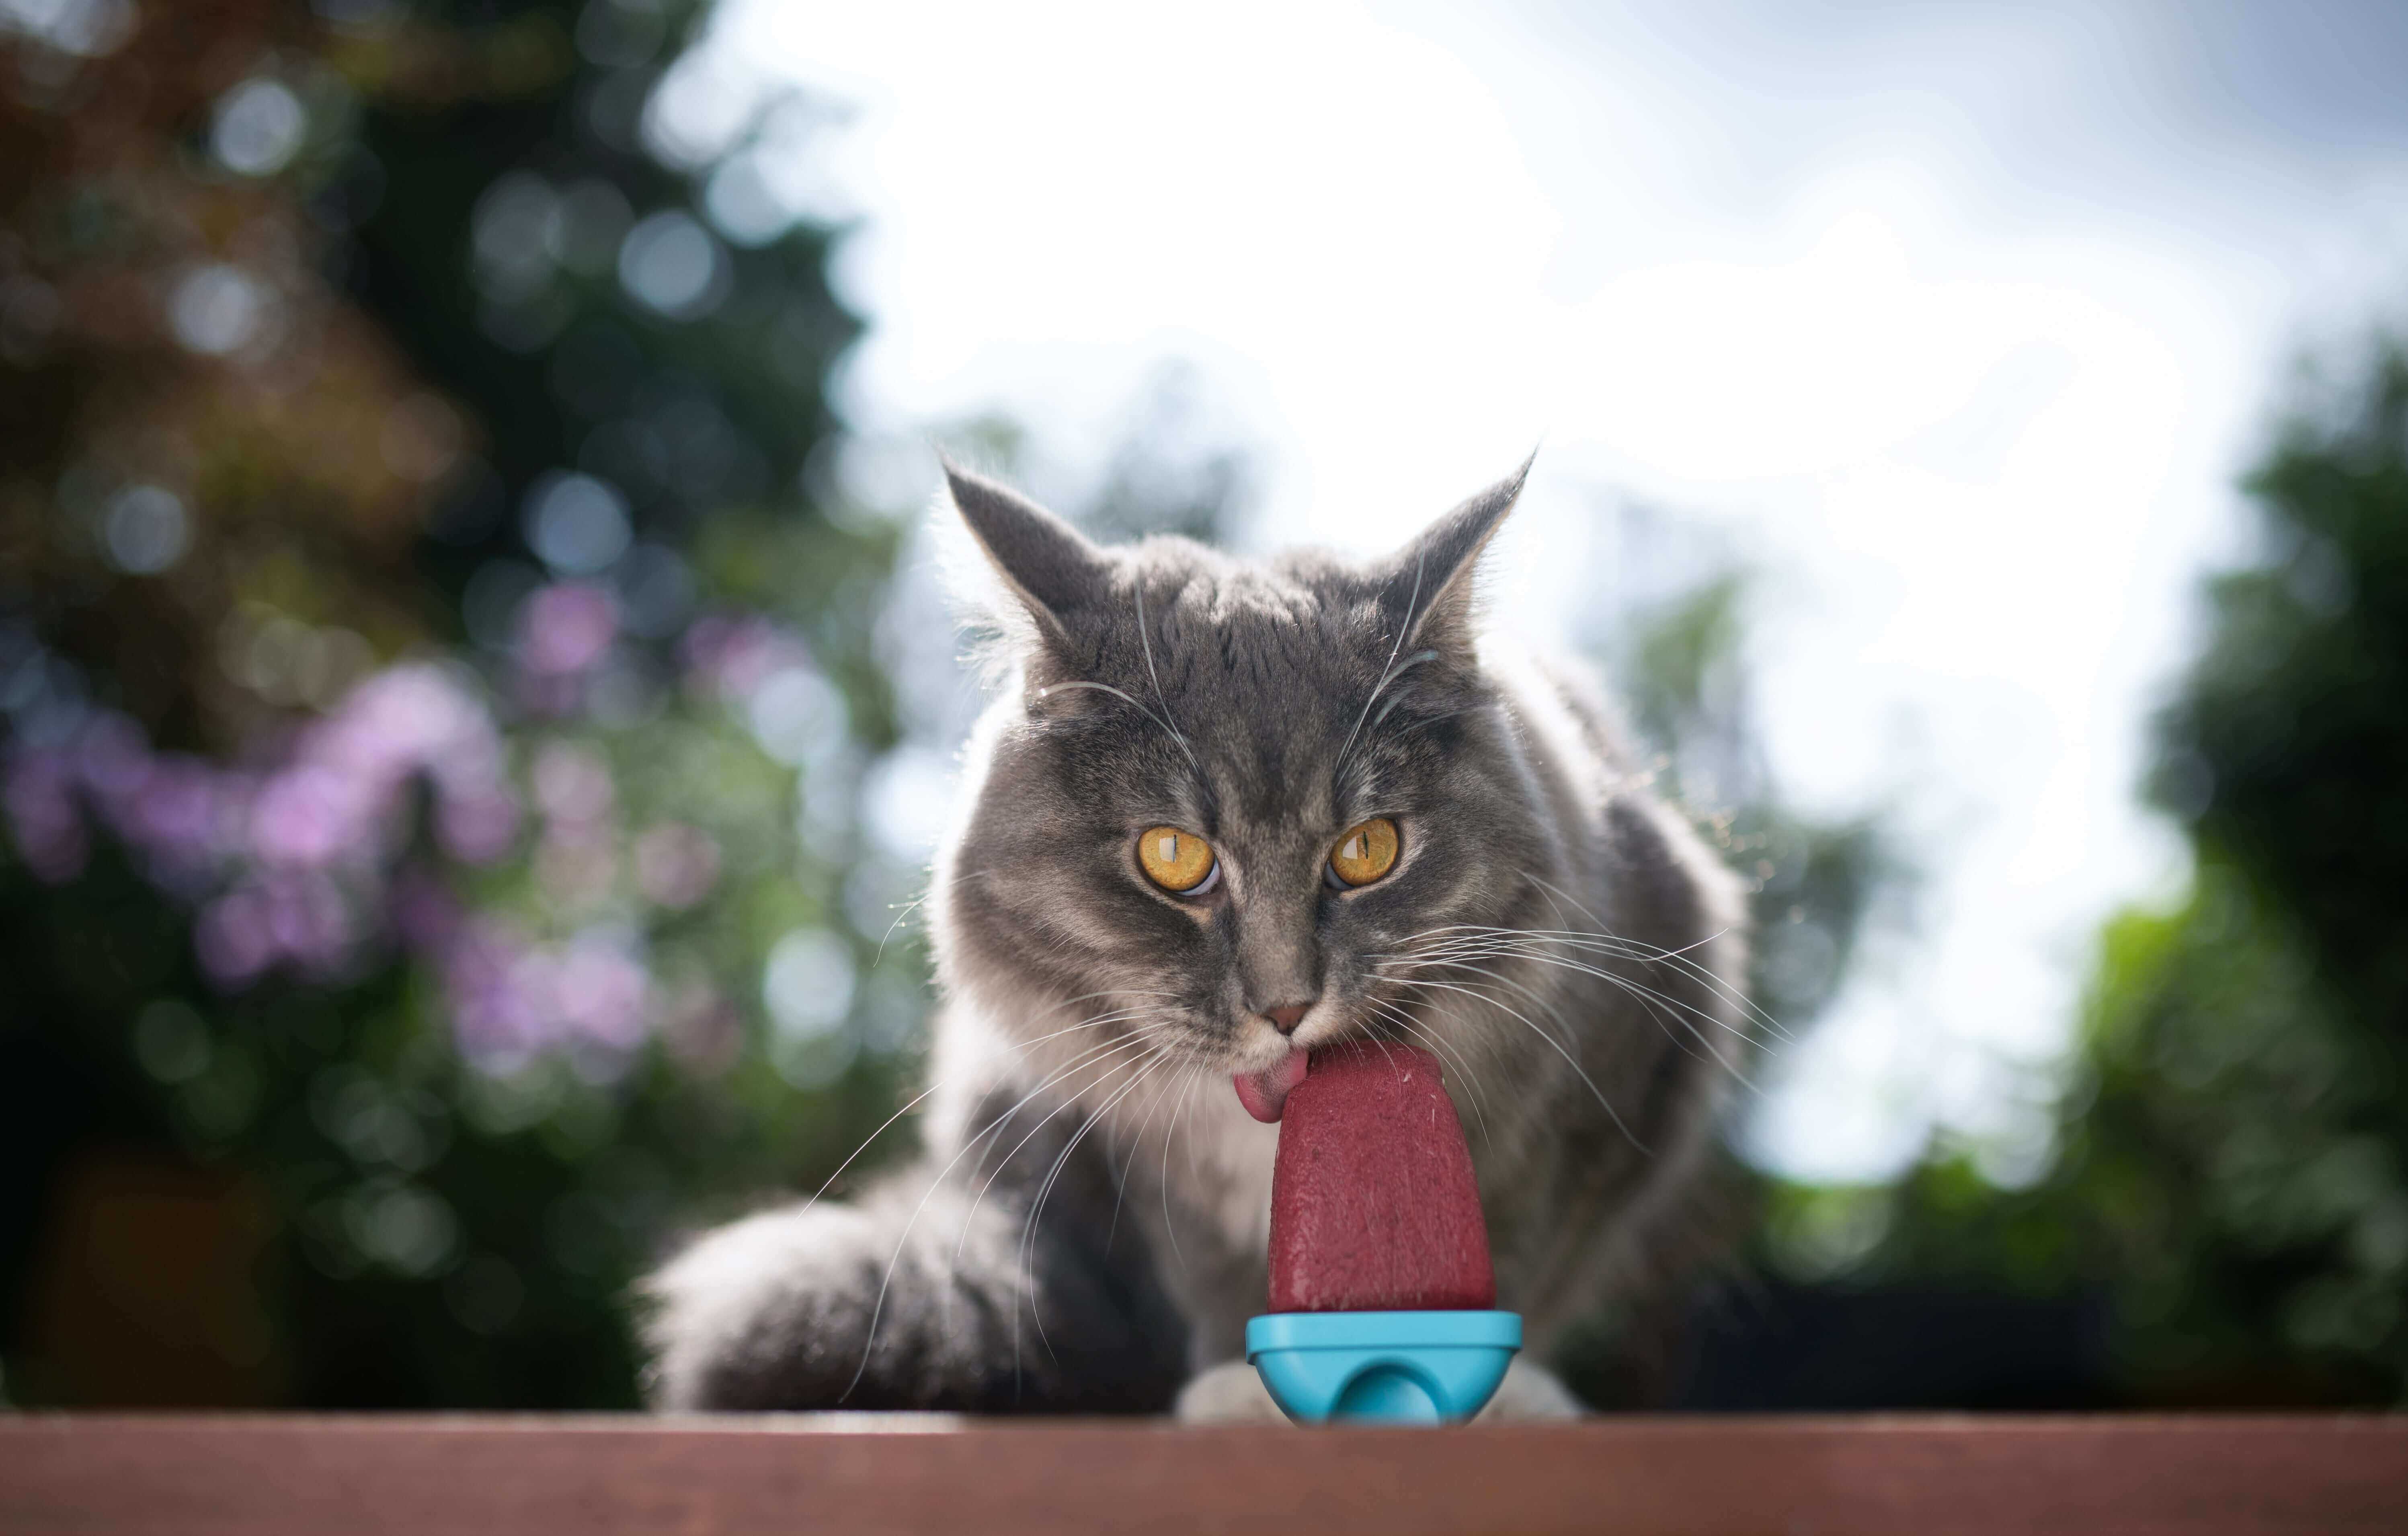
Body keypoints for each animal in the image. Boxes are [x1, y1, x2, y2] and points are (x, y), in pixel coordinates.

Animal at [640, 457, 1753, 1425]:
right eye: (1172, 856)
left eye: (1368, 848)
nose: (1286, 1003)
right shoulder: (1128, 1157)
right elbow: (1210, 1281)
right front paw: (1242, 1389)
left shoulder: (1617, 1078)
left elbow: (1516, 1250)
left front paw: (1493, 1394)